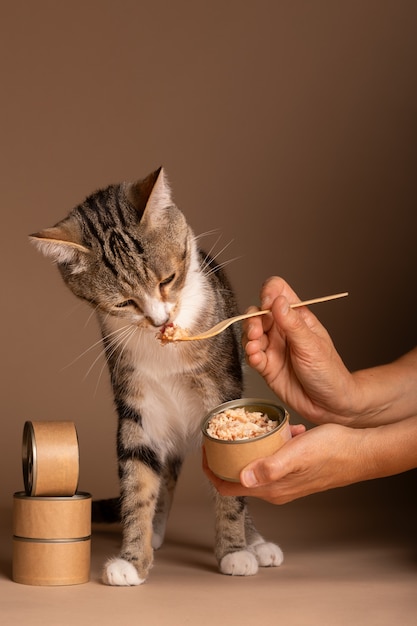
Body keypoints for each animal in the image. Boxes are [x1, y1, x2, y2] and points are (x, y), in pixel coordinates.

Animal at [30, 167, 282, 584]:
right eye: (123, 302)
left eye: (169, 279)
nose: (160, 320)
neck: (165, 349)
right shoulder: (136, 403)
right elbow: (138, 478)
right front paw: (132, 559)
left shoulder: (222, 390)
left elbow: (232, 483)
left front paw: (234, 551)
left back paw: (257, 543)